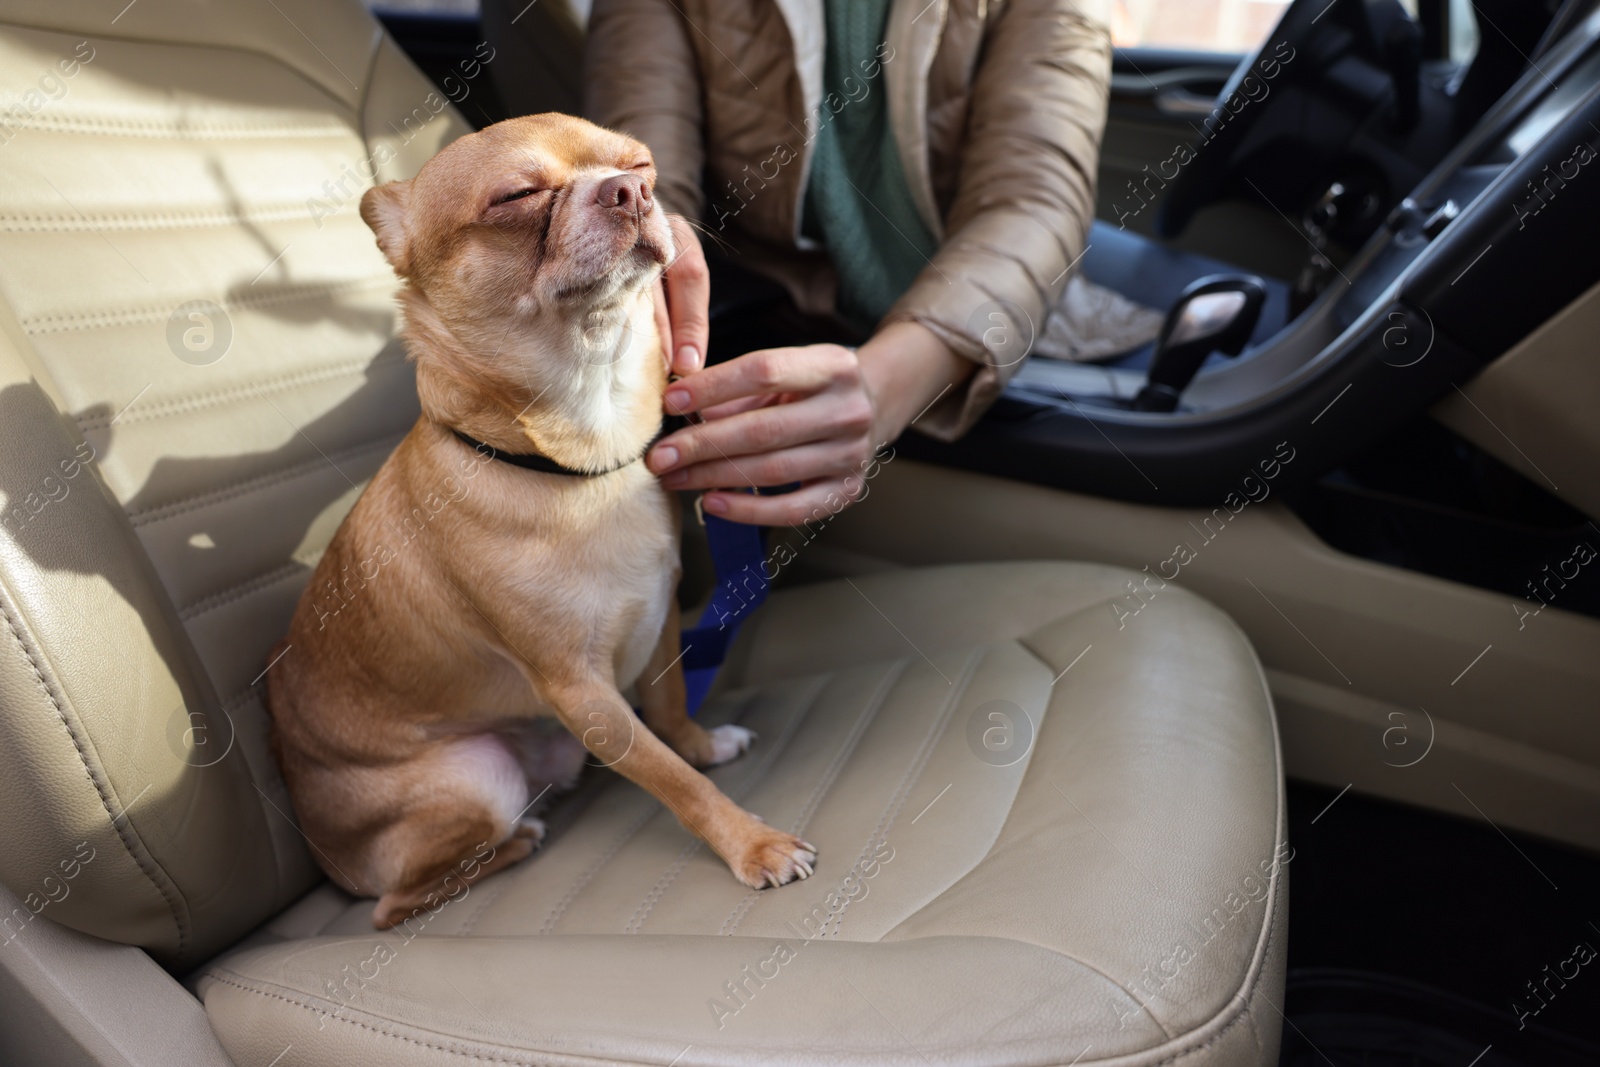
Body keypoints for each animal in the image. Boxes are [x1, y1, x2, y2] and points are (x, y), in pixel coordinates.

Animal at [270, 116, 819, 927]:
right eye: (516, 197)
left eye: (640, 163)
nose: (630, 191)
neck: (583, 455)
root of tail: (326, 856)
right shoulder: (581, 694)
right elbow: (673, 782)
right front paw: (752, 843)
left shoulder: (657, 616)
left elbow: (667, 704)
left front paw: (700, 742)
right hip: (479, 778)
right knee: (394, 904)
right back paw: (518, 842)